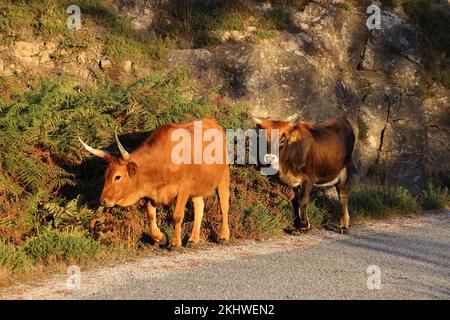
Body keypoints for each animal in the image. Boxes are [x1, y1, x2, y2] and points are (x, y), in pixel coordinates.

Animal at [78, 118, 230, 248]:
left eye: (117, 177)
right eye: (105, 175)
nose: (103, 200)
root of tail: (212, 122)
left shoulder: (184, 188)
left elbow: (177, 216)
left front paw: (175, 243)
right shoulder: (153, 193)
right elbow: (150, 214)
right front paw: (160, 238)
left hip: (223, 177)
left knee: (224, 205)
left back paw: (224, 236)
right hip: (197, 186)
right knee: (199, 206)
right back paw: (193, 239)